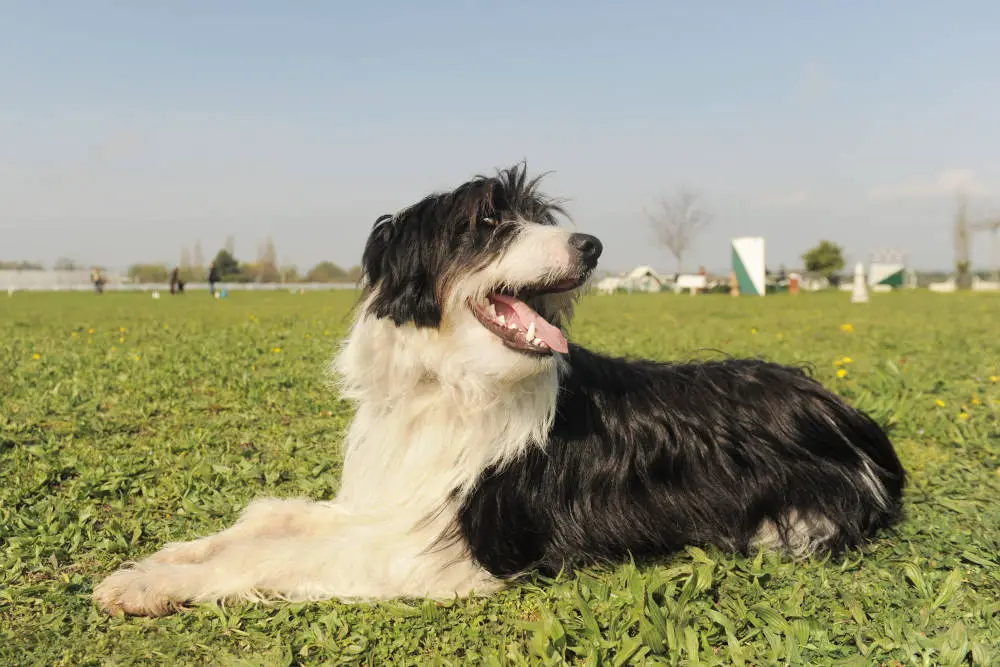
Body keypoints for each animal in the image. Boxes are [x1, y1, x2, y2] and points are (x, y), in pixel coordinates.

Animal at [94, 164, 908, 620]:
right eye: (487, 222)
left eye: (540, 219)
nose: (593, 246)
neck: (449, 383)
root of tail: (850, 415)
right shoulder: (390, 501)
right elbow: (269, 519)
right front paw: (161, 562)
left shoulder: (436, 551)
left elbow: (276, 555)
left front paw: (154, 584)